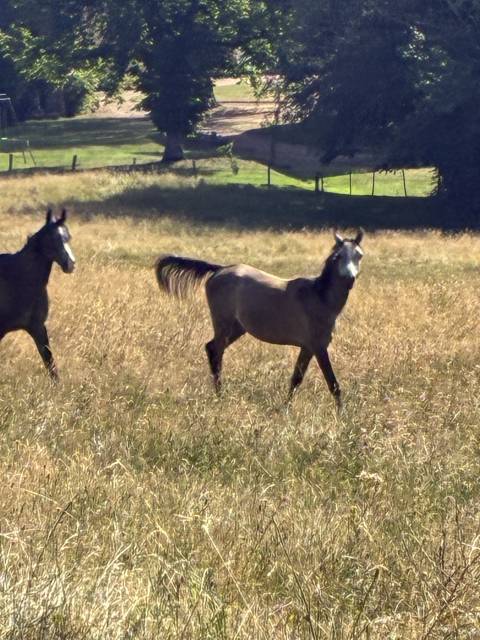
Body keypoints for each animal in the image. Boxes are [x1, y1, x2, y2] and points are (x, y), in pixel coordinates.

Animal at [155, 229, 364, 408]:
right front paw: (342, 415)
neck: (319, 296)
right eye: (338, 256)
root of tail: (220, 269)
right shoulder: (318, 346)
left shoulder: (307, 347)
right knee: (216, 353)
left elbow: (296, 379)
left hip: (237, 328)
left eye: (359, 255)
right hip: (223, 324)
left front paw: (286, 408)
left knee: (211, 348)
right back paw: (220, 396)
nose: (349, 279)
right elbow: (333, 384)